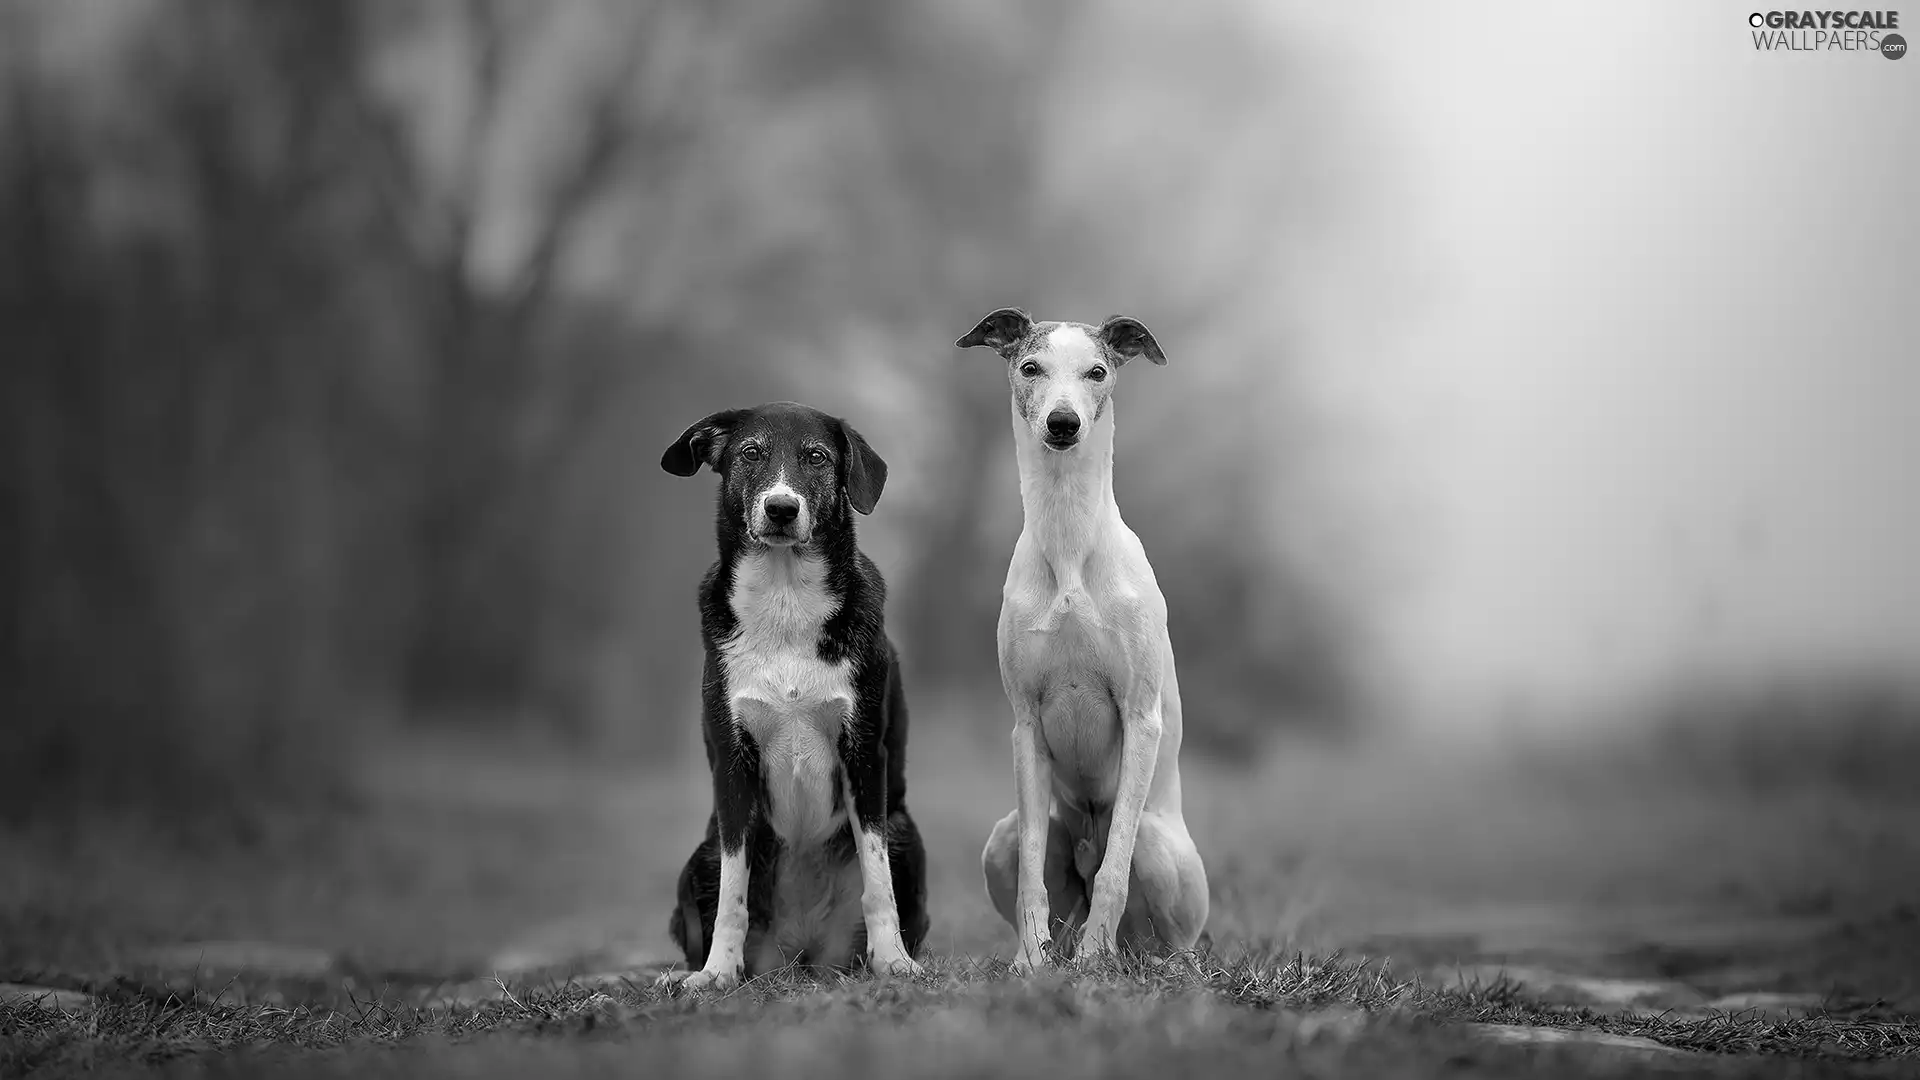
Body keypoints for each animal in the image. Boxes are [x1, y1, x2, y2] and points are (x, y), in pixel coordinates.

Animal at [660, 397, 929, 983]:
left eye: (816, 457)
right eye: (750, 453)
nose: (781, 508)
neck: (785, 599)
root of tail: (802, 953)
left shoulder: (863, 753)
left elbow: (878, 882)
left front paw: (893, 961)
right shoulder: (733, 760)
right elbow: (732, 895)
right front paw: (717, 973)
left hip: (907, 834)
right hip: (700, 856)